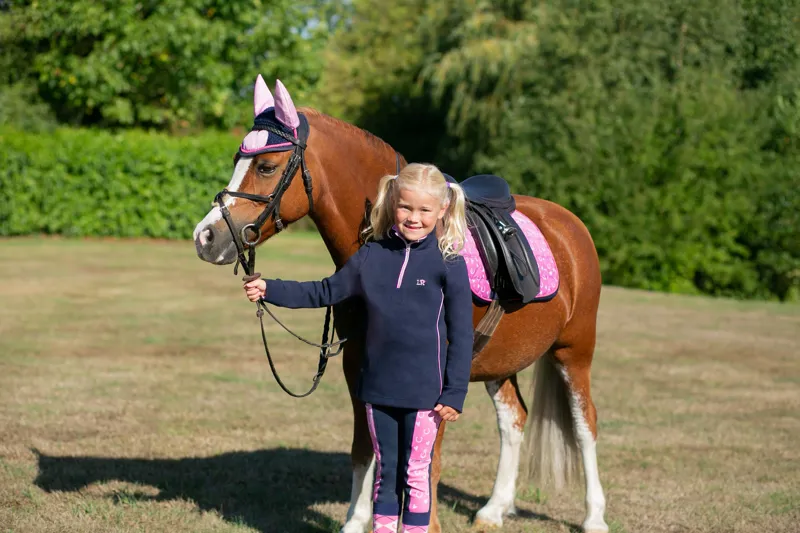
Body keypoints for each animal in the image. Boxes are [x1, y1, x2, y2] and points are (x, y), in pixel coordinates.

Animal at [193, 77, 608, 533]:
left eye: (266, 167)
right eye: (238, 159)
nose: (205, 237)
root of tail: (569, 224)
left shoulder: (440, 381)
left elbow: (425, 462)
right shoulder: (359, 364)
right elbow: (366, 449)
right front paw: (356, 521)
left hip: (574, 350)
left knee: (585, 424)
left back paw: (594, 517)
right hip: (503, 362)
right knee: (513, 420)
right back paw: (494, 509)